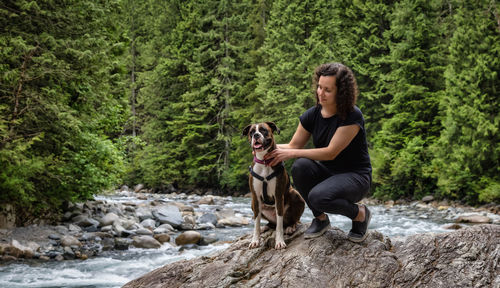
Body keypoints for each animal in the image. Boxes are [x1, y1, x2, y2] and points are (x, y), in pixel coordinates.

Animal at [242, 121, 304, 250]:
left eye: (263, 130)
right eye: (251, 132)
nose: (256, 135)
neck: (264, 161)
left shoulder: (278, 196)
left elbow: (279, 225)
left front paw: (279, 241)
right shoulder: (255, 197)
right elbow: (256, 223)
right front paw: (255, 240)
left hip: (296, 195)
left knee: (293, 220)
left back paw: (291, 227)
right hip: (253, 204)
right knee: (270, 223)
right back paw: (265, 227)